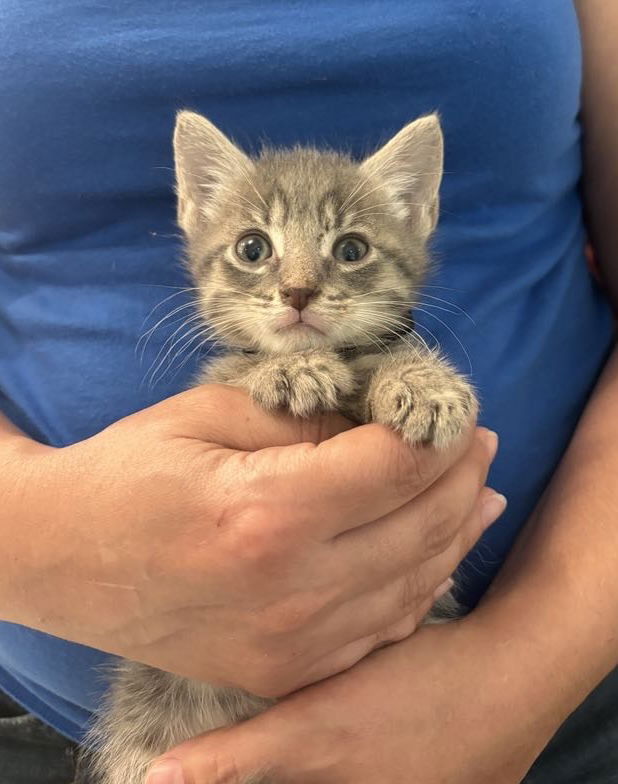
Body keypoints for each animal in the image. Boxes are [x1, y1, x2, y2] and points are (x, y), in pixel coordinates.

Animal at [78, 112, 476, 784]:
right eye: (252, 248)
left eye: (351, 249)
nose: (297, 292)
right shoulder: (214, 377)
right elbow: (239, 370)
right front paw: (287, 371)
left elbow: (390, 356)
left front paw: (425, 383)